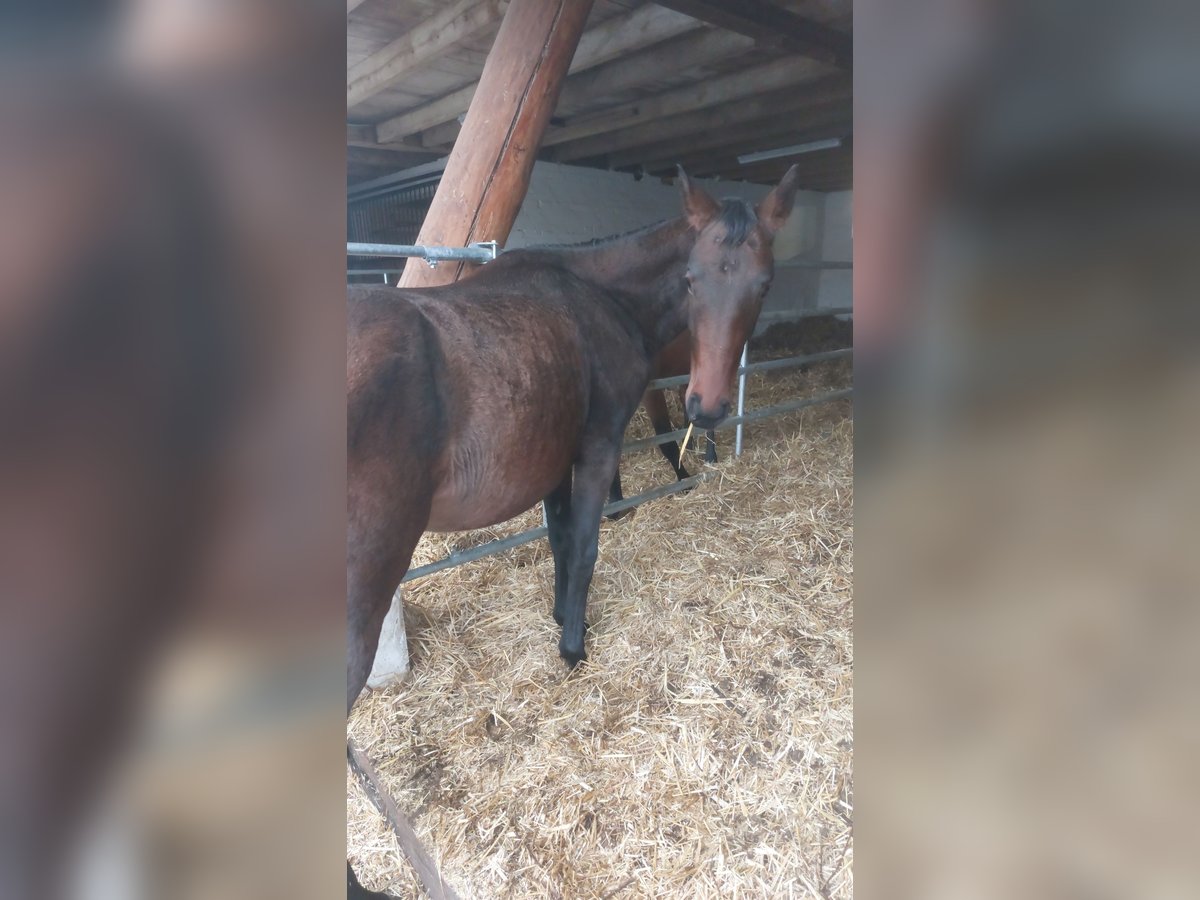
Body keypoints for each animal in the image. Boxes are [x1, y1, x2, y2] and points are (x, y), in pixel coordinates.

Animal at [346, 166, 799, 894]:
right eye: (692, 278)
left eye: (762, 283)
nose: (705, 406)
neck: (599, 297)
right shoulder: (595, 447)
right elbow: (583, 546)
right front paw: (573, 648)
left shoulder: (557, 460)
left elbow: (560, 544)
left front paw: (561, 618)